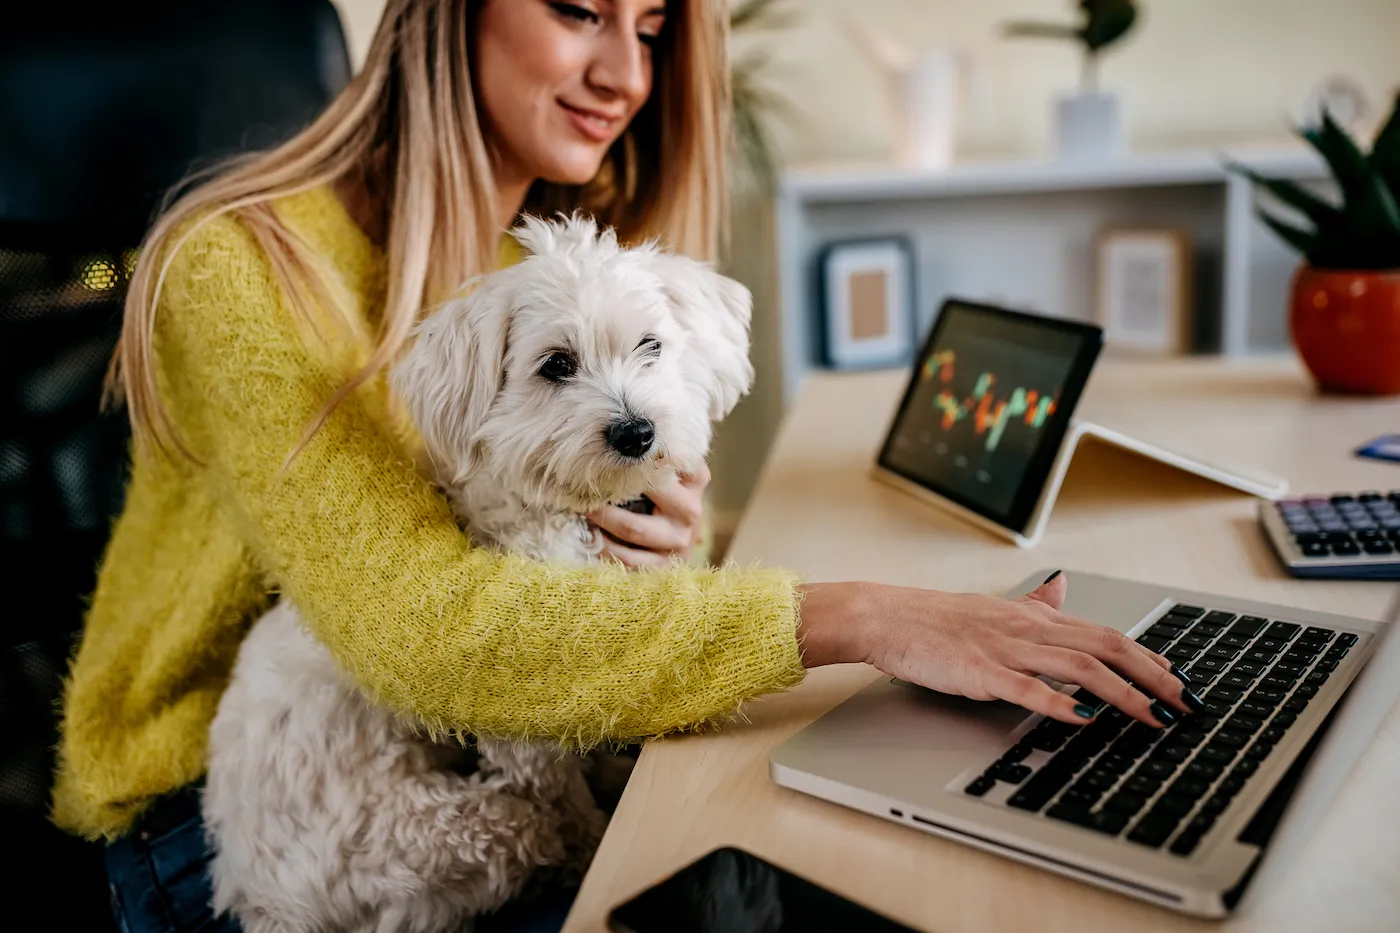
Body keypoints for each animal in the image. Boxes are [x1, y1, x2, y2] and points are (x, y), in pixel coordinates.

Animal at [200, 212, 756, 930]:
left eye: (651, 345)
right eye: (557, 365)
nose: (636, 431)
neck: (564, 511)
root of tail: (253, 895)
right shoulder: (524, 724)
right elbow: (561, 794)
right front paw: (595, 832)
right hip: (443, 833)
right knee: (529, 833)